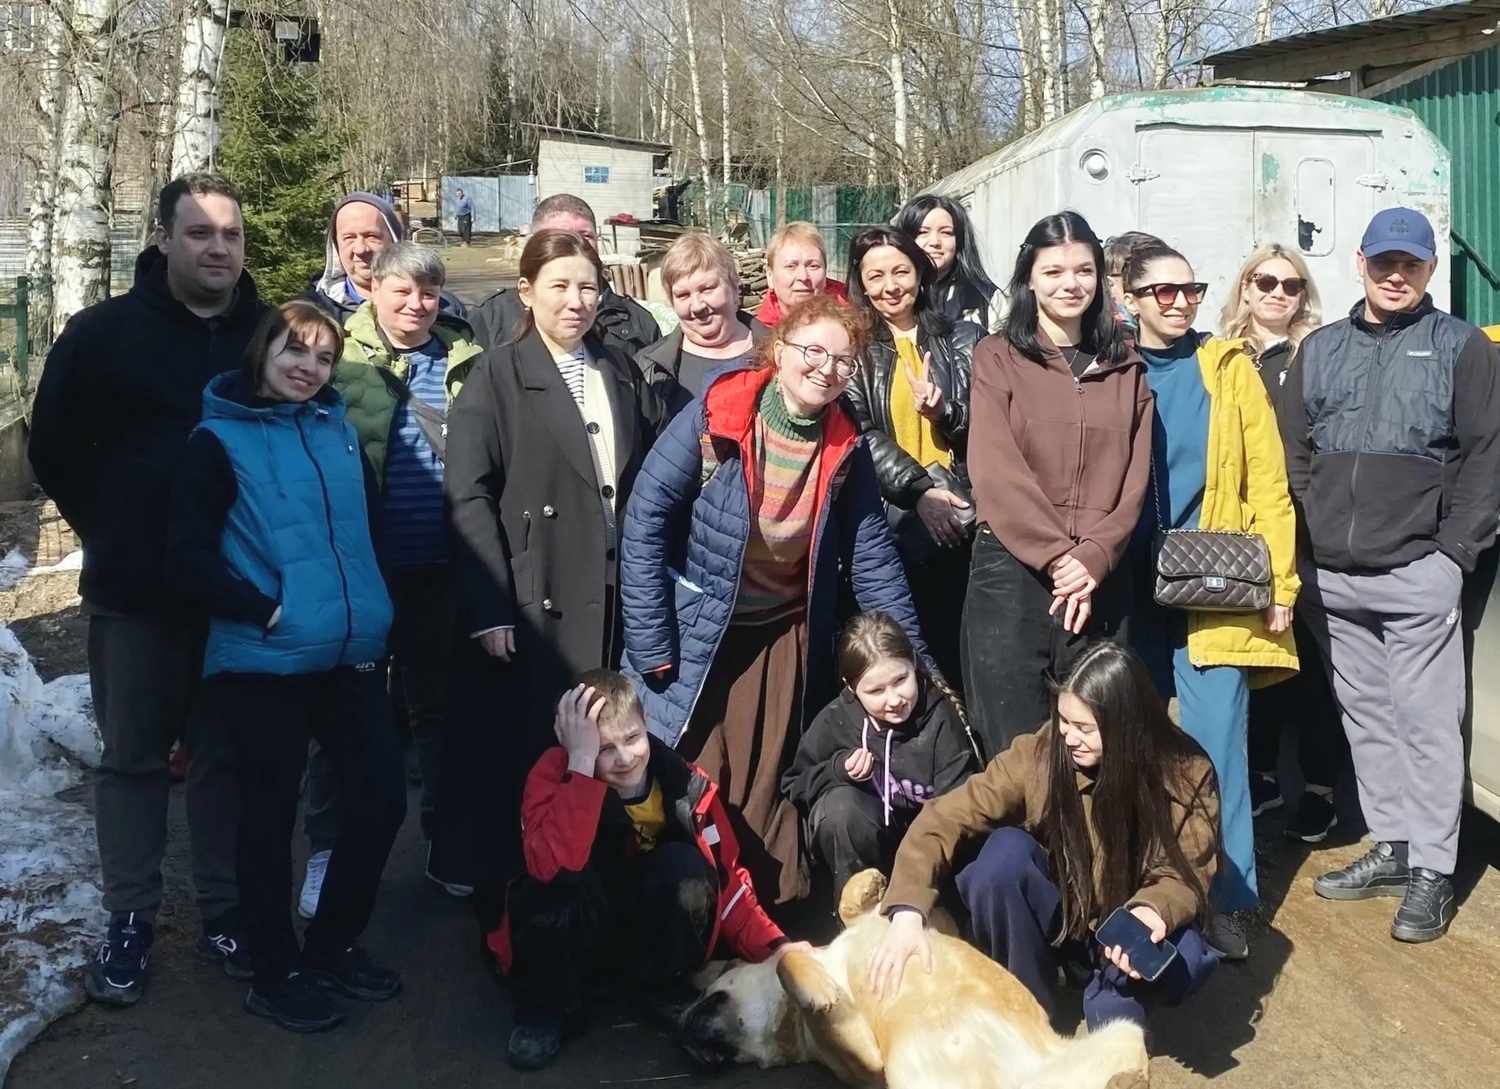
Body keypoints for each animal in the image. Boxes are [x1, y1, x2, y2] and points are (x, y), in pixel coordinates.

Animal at [678, 869, 1150, 1089]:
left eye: (707, 998)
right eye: (739, 1059)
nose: (681, 1029)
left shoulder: (925, 922)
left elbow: (859, 905)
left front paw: (868, 884)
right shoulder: (866, 1063)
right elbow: (787, 964)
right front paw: (821, 993)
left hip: (1121, 1031)